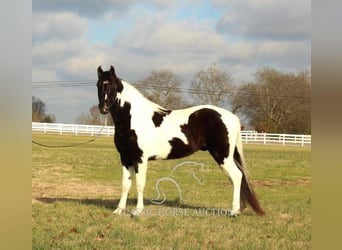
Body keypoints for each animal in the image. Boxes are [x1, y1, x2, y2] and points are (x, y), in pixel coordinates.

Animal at [96, 65, 264, 216]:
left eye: (112, 85)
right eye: (99, 84)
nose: (103, 108)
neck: (134, 118)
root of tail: (232, 117)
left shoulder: (140, 159)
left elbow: (139, 184)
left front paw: (137, 211)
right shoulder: (126, 158)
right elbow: (126, 184)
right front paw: (119, 210)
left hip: (222, 156)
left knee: (236, 176)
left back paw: (234, 211)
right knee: (237, 178)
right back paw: (239, 209)